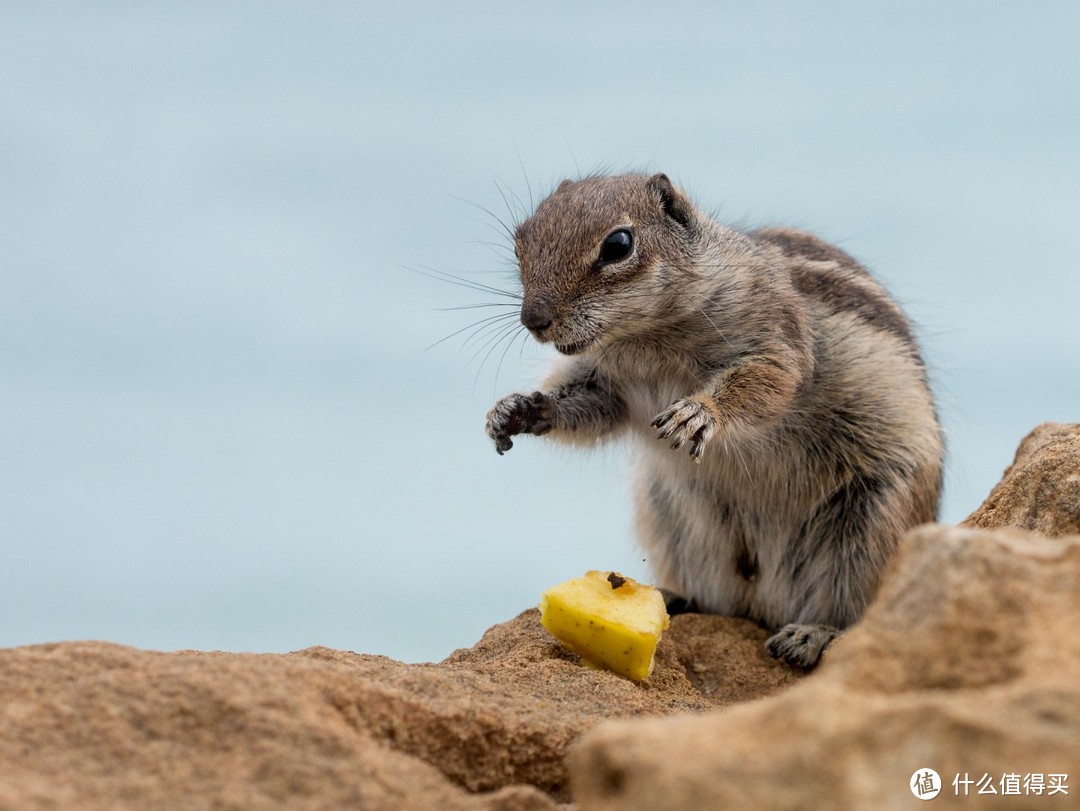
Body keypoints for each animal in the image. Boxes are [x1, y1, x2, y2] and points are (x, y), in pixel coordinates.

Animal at [486, 174, 941, 669]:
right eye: (520, 242)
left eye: (618, 245)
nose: (534, 320)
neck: (644, 337)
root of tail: (766, 603)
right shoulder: (607, 385)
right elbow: (589, 410)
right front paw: (516, 411)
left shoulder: (776, 339)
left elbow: (765, 380)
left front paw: (697, 413)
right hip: (671, 515)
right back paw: (674, 597)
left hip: (875, 523)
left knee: (859, 606)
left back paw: (812, 634)